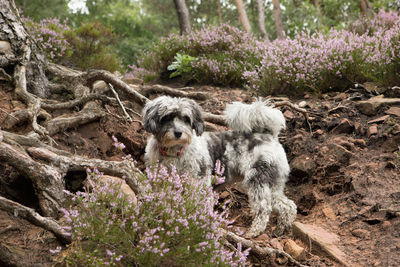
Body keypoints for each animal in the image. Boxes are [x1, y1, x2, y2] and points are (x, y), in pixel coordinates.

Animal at [142, 96, 296, 239]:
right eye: (166, 117)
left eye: (186, 118)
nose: (179, 133)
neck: (174, 153)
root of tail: (269, 135)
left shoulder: (199, 182)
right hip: (273, 184)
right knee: (288, 205)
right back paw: (282, 227)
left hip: (258, 180)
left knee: (263, 208)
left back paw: (254, 231)